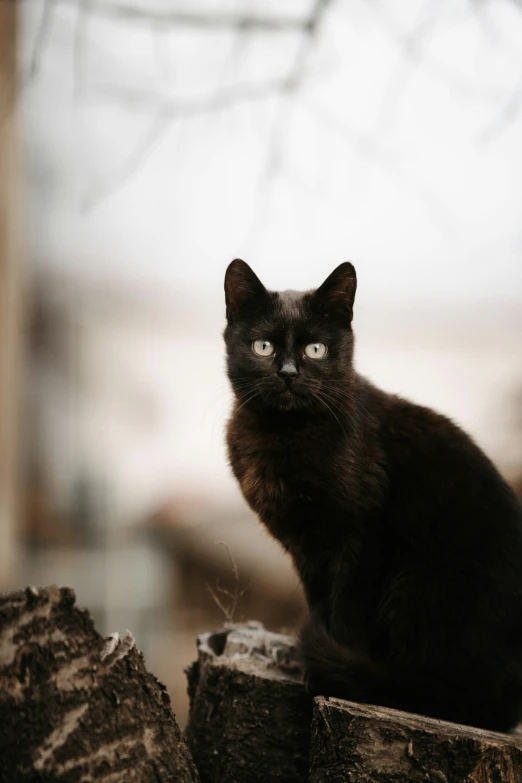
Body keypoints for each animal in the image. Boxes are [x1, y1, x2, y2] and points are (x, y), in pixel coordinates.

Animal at [222, 260, 520, 732]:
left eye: (316, 350)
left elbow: (346, 608)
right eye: (263, 346)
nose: (288, 373)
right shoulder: (306, 552)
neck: (284, 435)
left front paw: (328, 675)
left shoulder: (361, 537)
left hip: (419, 583)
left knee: (469, 700)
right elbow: (321, 602)